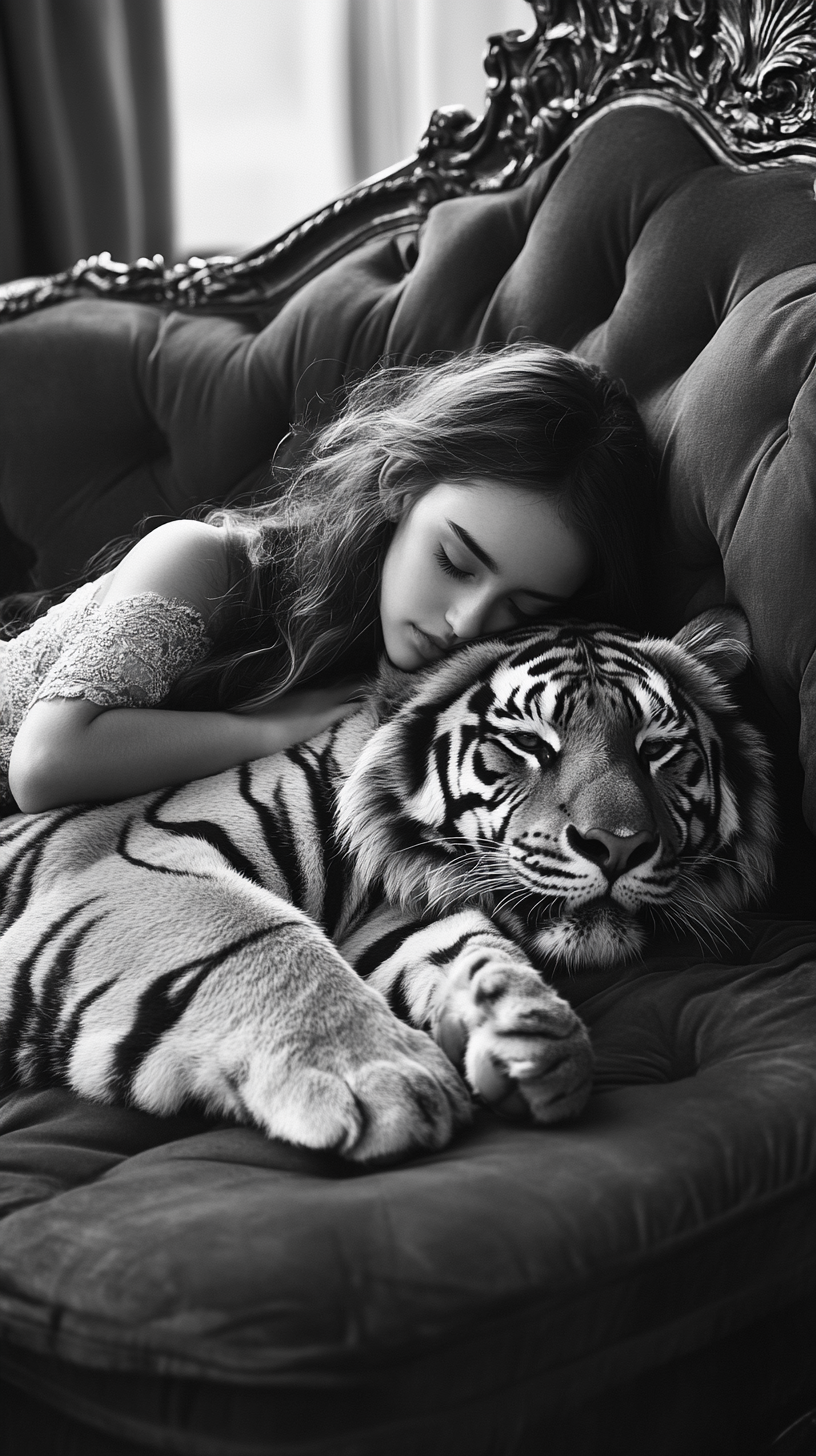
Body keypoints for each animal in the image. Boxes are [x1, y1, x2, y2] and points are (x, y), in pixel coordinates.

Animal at [0, 602, 769, 1158]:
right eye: (526, 744)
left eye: (658, 751)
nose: (619, 846)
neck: (381, 857)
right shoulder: (128, 855)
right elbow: (261, 937)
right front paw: (378, 1078)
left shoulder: (398, 914)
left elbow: (466, 946)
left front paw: (530, 1036)